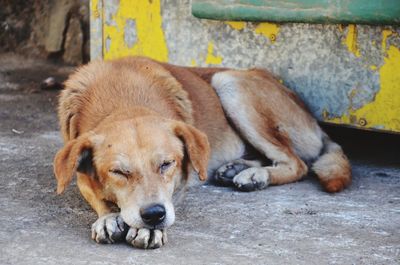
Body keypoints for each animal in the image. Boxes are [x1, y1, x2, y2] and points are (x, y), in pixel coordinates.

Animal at [53, 55, 350, 248]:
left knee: (297, 163)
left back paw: (256, 176)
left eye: (167, 164)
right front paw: (109, 217)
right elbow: (99, 197)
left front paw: (148, 231)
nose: (154, 215)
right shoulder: (79, 173)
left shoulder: (180, 183)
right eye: (118, 172)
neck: (124, 101)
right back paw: (237, 168)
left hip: (229, 83)